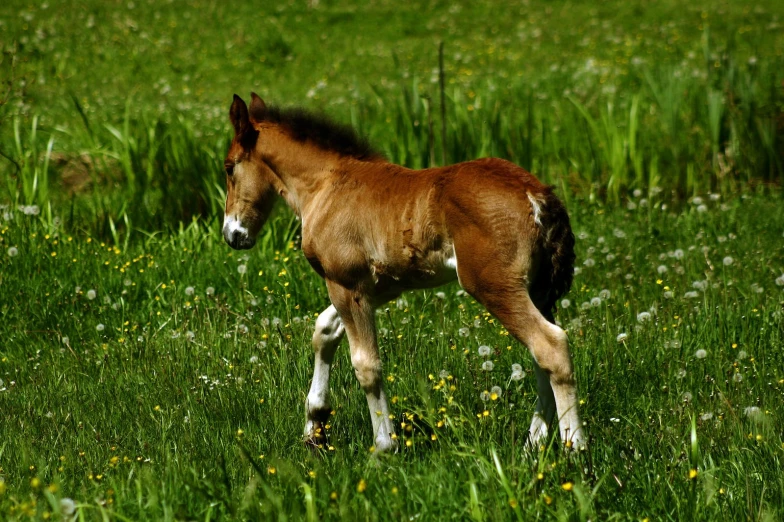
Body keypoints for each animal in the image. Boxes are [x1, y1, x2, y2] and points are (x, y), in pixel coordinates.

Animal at [224, 93, 584, 450]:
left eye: (229, 167)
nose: (232, 234)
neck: (327, 185)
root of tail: (536, 194)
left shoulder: (345, 284)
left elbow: (366, 365)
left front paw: (384, 445)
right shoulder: (378, 287)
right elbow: (324, 330)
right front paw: (315, 425)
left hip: (494, 286)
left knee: (551, 345)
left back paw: (575, 447)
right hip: (537, 291)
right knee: (540, 355)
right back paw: (533, 445)